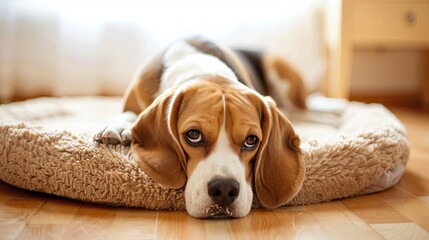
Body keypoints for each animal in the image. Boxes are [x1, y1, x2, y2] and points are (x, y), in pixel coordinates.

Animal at [95, 37, 306, 218]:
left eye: (251, 140)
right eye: (194, 135)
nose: (224, 189)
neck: (204, 69)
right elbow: (129, 113)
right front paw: (119, 127)